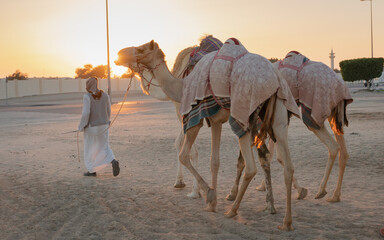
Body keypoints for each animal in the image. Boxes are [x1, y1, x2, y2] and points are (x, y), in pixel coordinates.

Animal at [115, 38, 302, 231]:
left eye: (140, 49)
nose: (119, 54)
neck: (181, 86)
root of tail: (274, 80)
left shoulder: (196, 116)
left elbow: (189, 155)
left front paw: (209, 196)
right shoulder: (215, 121)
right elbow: (214, 161)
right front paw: (209, 198)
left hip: (244, 114)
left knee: (252, 166)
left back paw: (233, 210)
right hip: (278, 116)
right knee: (285, 164)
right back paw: (284, 219)